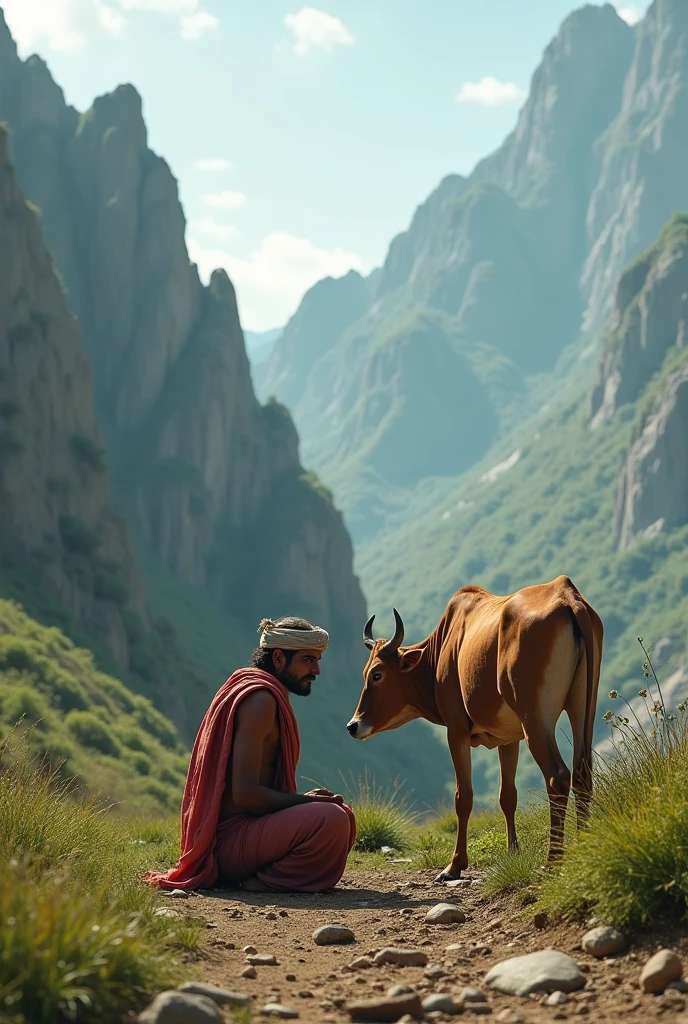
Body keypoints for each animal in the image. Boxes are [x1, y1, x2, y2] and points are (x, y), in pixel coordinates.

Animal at [350, 577, 602, 880]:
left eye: (377, 674)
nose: (353, 725)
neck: (443, 646)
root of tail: (566, 593)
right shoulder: (509, 739)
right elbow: (507, 796)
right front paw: (512, 852)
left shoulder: (456, 730)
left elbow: (464, 796)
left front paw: (454, 865)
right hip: (582, 709)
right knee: (582, 774)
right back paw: (581, 851)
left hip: (536, 720)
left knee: (558, 776)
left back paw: (553, 861)